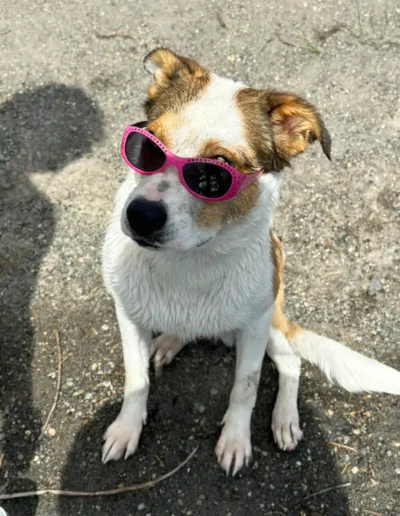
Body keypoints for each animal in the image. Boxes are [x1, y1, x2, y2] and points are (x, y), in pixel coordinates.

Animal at [101, 48, 400, 476]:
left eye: (215, 172)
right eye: (147, 144)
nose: (140, 216)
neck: (189, 260)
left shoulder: (254, 328)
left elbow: (246, 386)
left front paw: (236, 440)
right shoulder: (128, 316)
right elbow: (135, 378)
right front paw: (127, 428)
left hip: (270, 324)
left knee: (290, 362)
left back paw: (285, 420)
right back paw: (172, 339)